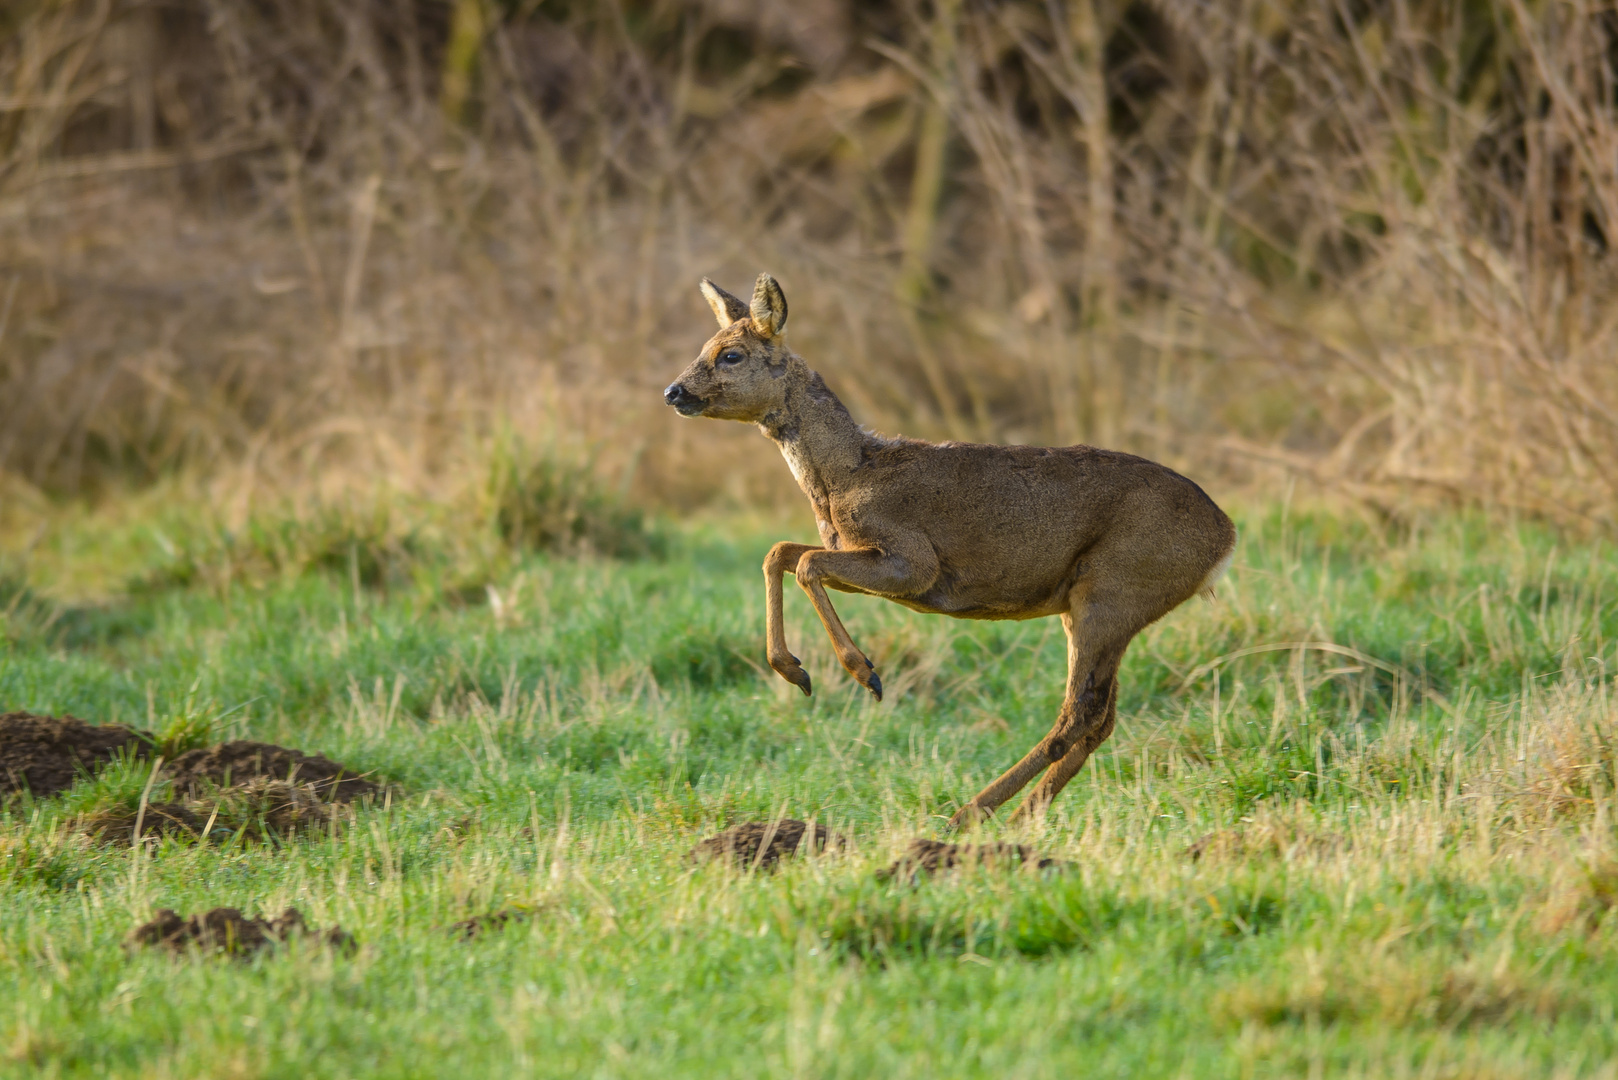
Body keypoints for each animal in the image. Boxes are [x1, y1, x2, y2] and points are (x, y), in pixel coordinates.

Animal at [663, 275, 1229, 822]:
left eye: (730, 354)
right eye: (706, 345)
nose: (673, 391)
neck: (848, 475)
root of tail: (1225, 538)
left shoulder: (915, 561)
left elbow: (805, 562)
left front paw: (861, 672)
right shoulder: (867, 555)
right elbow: (780, 551)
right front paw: (793, 669)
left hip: (1114, 589)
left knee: (1079, 713)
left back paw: (969, 814)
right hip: (1094, 603)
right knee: (1100, 717)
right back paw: (1017, 817)